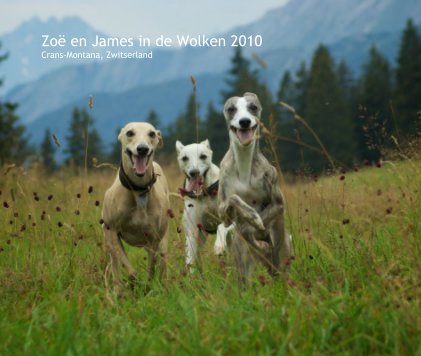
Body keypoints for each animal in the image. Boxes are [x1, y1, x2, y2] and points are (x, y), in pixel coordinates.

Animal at [175, 140, 230, 270]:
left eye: (203, 156)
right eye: (184, 158)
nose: (194, 172)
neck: (205, 195)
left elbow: (221, 226)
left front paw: (219, 245)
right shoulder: (193, 230)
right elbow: (190, 257)